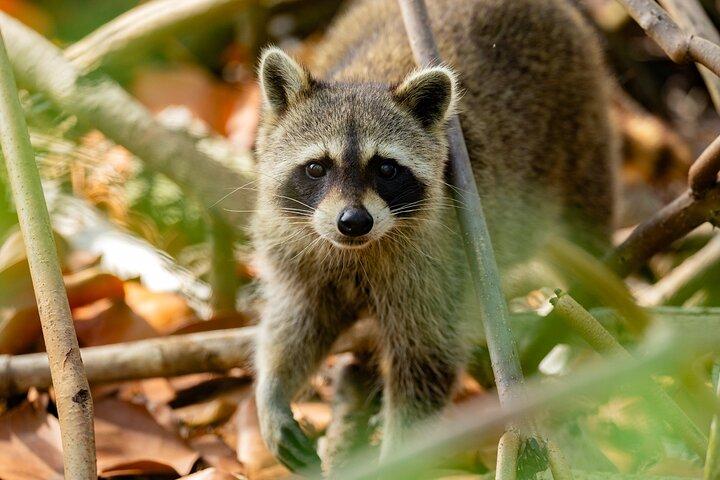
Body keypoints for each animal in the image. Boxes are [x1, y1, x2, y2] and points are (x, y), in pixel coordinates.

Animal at [251, 0, 616, 472]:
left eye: (386, 169)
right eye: (317, 167)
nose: (353, 222)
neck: (360, 249)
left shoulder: (440, 261)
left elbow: (426, 358)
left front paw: (397, 454)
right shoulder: (295, 246)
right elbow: (297, 319)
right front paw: (273, 388)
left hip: (580, 126)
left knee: (584, 230)